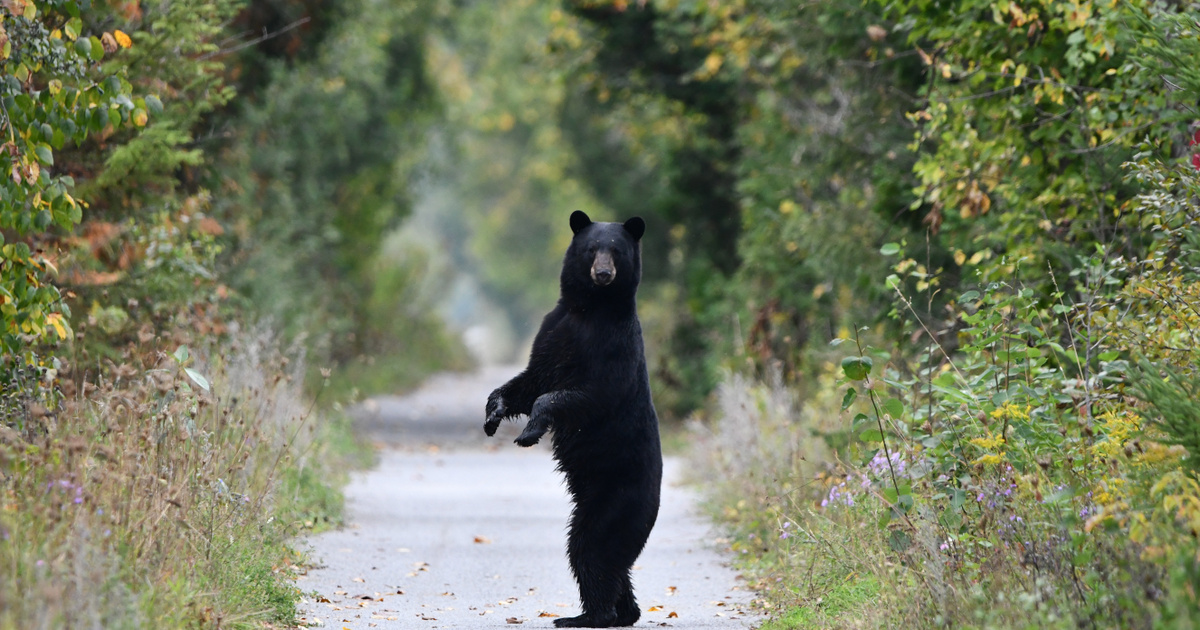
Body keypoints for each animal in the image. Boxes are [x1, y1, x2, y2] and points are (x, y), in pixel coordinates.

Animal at [480, 210, 667, 624]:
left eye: (616, 250)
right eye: (591, 248)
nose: (603, 273)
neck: (590, 309)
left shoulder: (613, 346)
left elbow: (583, 393)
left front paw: (529, 433)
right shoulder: (553, 329)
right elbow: (530, 381)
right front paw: (493, 414)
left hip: (617, 501)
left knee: (592, 550)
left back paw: (586, 616)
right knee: (610, 562)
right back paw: (625, 612)